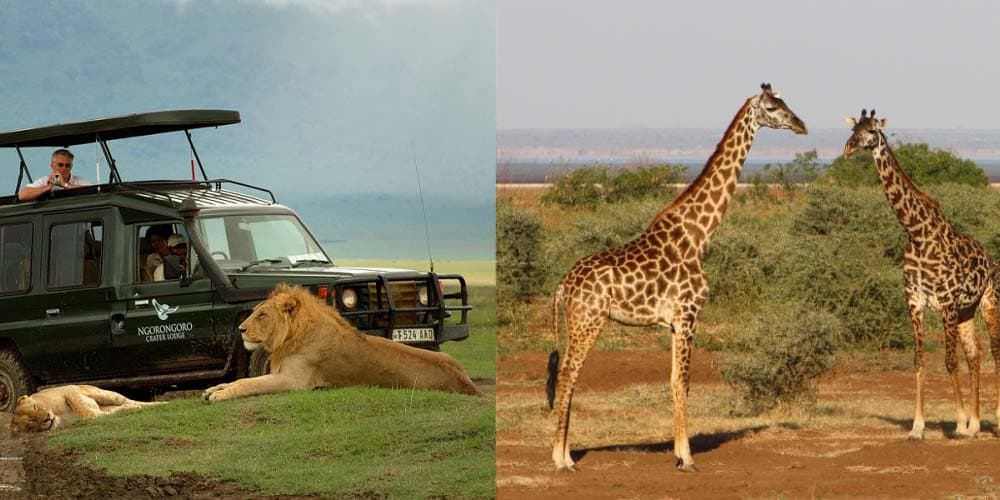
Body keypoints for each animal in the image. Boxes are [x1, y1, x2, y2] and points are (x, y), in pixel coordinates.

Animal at [8, 385, 164, 432]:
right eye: (31, 422)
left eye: (35, 407)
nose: (47, 417)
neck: (59, 416)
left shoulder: (69, 389)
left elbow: (80, 407)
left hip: (105, 394)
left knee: (127, 400)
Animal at [202, 283, 483, 402]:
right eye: (254, 311)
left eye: (262, 314)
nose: (240, 329)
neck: (292, 338)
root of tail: (466, 383)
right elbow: (242, 380)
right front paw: (214, 388)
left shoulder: (294, 382)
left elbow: (249, 384)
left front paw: (220, 395)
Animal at [546, 83, 807, 472]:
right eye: (774, 108)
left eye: (786, 103)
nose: (801, 125)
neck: (698, 234)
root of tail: (564, 284)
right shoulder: (689, 314)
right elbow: (683, 383)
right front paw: (687, 458)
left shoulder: (673, 323)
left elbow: (672, 382)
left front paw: (678, 453)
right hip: (588, 321)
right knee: (567, 374)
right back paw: (562, 459)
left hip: (580, 322)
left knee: (568, 375)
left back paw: (564, 454)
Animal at [843, 109, 1000, 440]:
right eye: (853, 129)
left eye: (871, 130)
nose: (848, 147)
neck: (917, 233)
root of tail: (991, 259)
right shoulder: (914, 301)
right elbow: (920, 360)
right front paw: (918, 427)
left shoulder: (946, 303)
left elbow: (949, 361)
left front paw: (958, 423)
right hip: (967, 310)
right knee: (975, 353)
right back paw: (977, 425)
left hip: (988, 302)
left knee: (994, 349)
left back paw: (993, 419)